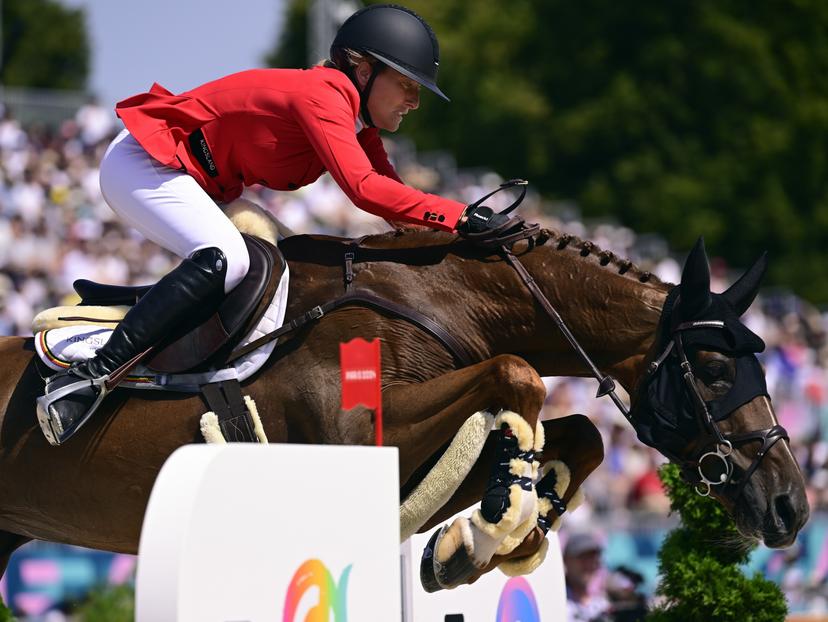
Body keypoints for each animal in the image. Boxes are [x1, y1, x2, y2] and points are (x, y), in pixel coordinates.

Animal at [0, 222, 809, 590]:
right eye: (713, 370)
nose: (792, 506)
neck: (444, 304)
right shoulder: (352, 440)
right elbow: (520, 375)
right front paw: (491, 533)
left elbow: (578, 433)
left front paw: (484, 538)